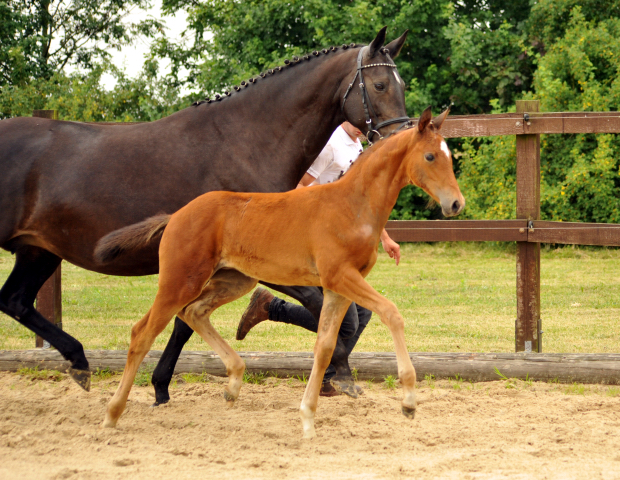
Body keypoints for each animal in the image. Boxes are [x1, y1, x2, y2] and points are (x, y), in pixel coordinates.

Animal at [0, 27, 412, 394]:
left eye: (403, 85)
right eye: (379, 85)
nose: (402, 142)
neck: (245, 142)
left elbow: (186, 321)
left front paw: (161, 386)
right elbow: (320, 307)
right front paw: (341, 371)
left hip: (39, 251)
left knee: (15, 301)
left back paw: (80, 362)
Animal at [95, 106, 464, 438]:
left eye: (448, 156)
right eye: (430, 156)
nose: (456, 204)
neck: (352, 207)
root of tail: (175, 216)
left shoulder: (338, 288)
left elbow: (325, 347)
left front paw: (308, 418)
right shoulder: (341, 277)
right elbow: (392, 313)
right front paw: (409, 401)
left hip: (235, 280)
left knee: (194, 312)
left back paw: (233, 382)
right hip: (180, 280)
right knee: (142, 332)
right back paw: (112, 414)